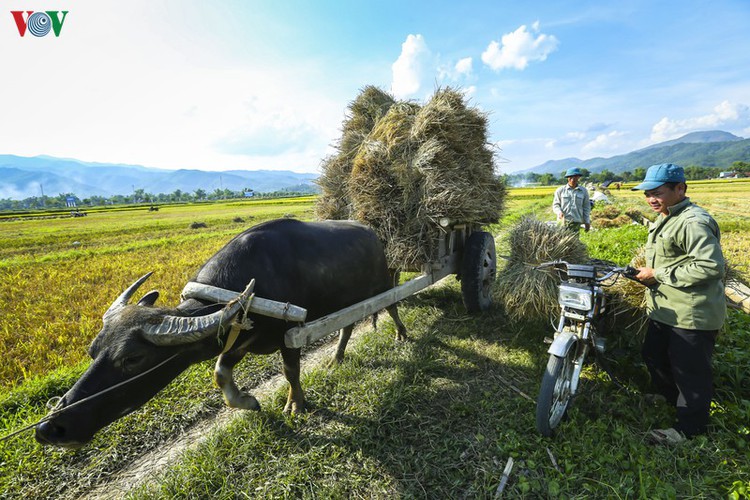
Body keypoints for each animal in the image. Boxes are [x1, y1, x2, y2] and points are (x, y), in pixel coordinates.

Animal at [36, 219, 408, 450]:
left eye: (132, 358)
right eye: (92, 350)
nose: (50, 428)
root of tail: (374, 233)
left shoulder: (290, 335)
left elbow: (290, 371)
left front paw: (295, 404)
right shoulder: (240, 337)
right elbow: (220, 372)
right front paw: (247, 401)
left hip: (383, 283)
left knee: (391, 307)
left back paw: (401, 335)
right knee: (349, 325)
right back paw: (338, 357)